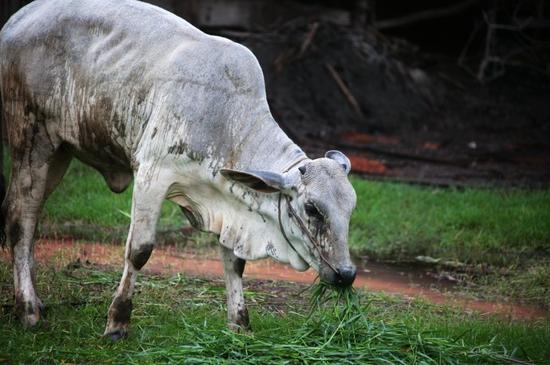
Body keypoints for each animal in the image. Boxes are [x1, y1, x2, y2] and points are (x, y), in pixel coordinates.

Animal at [0, 0, 360, 338]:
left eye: (350, 209)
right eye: (312, 209)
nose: (347, 274)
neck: (227, 122)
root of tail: (18, 19)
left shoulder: (229, 200)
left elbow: (234, 262)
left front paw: (240, 324)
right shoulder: (151, 175)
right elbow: (140, 251)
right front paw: (117, 323)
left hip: (59, 153)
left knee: (28, 217)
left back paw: (32, 300)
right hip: (31, 139)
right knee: (21, 218)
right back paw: (27, 310)